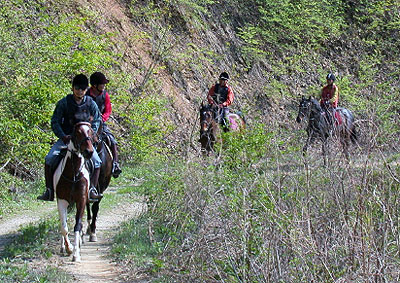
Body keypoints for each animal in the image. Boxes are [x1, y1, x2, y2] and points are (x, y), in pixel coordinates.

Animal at [54, 121, 94, 262]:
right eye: (77, 132)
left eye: (91, 132)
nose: (89, 151)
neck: (73, 174)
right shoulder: (61, 201)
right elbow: (64, 227)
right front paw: (69, 248)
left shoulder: (81, 200)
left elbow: (77, 226)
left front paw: (76, 254)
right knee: (62, 222)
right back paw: (62, 247)